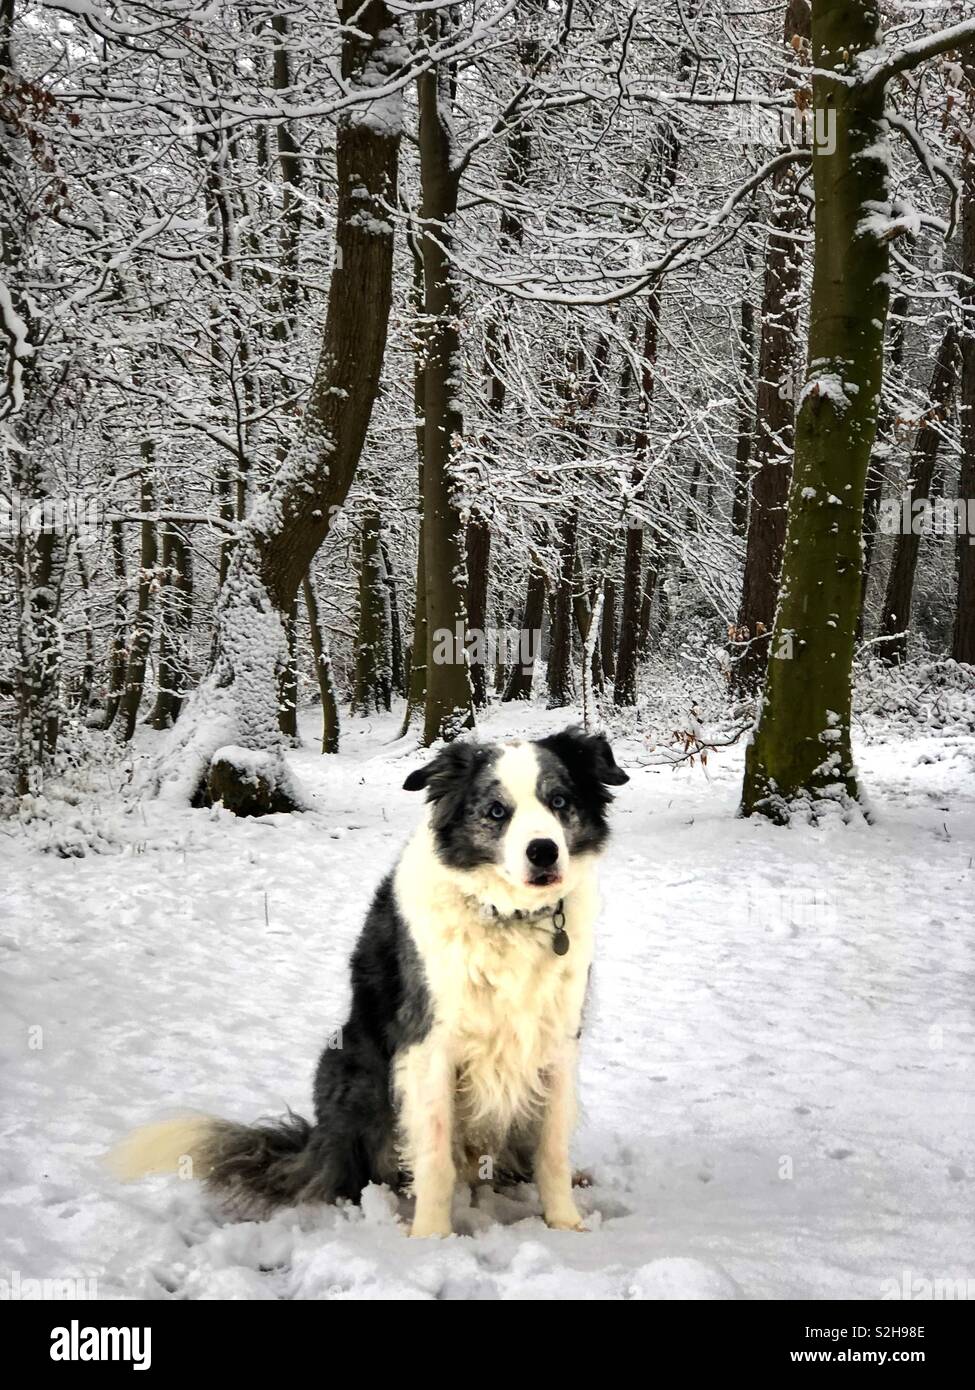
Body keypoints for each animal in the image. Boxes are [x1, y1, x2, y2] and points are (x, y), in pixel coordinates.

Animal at [110, 728, 628, 1239]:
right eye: (497, 811)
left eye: (559, 801)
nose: (543, 851)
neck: (509, 917)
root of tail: (317, 1143)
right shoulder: (428, 1045)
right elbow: (434, 1157)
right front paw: (431, 1239)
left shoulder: (556, 1040)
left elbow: (552, 1148)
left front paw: (565, 1224)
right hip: (350, 1068)